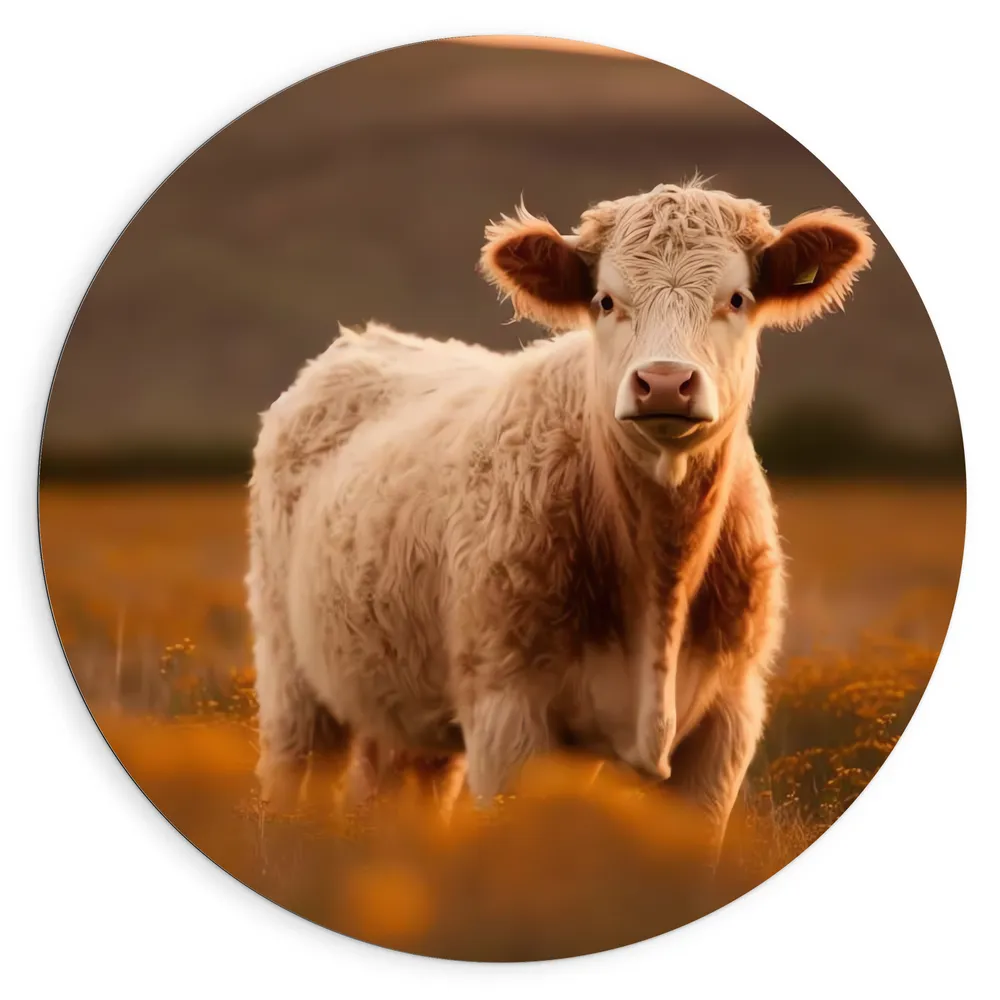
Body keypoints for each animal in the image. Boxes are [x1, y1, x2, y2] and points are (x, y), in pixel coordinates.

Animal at [246, 180, 874, 850]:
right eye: (604, 300)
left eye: (736, 298)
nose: (664, 382)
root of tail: (364, 340)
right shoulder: (508, 714)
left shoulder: (726, 722)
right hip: (293, 683)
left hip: (403, 701)